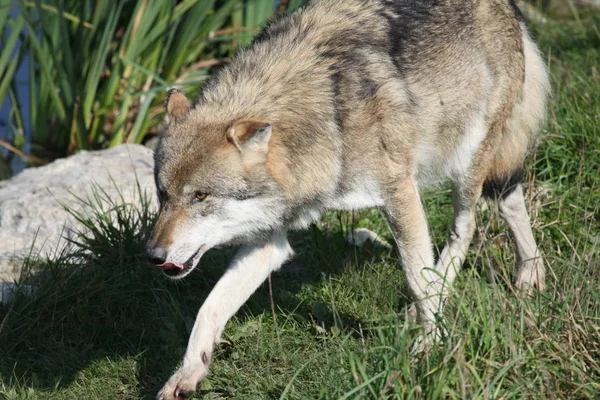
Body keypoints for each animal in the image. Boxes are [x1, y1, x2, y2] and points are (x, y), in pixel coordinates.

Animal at [145, 1, 548, 398]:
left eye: (200, 196)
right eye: (163, 195)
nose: (152, 255)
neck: (325, 114)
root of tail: (510, 7)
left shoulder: (400, 193)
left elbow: (417, 280)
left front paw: (429, 349)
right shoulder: (269, 240)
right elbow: (209, 308)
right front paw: (186, 374)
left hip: (466, 166)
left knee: (466, 227)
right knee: (509, 197)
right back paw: (530, 272)